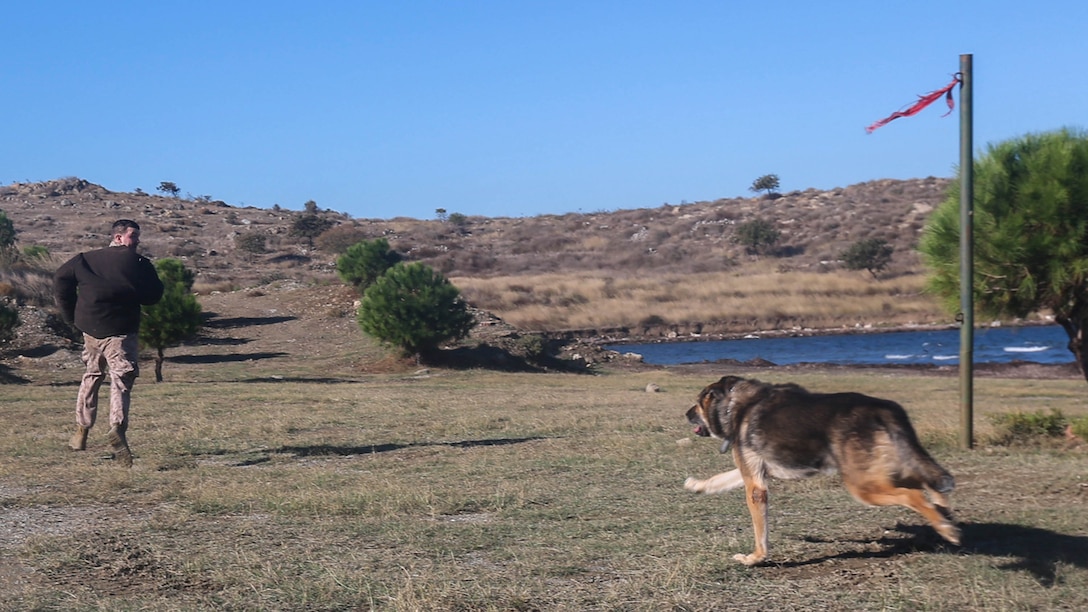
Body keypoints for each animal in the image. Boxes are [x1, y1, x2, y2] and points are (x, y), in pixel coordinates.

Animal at [683, 374, 957, 566]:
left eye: (697, 403)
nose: (685, 414)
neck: (734, 403)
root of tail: (881, 408)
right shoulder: (754, 472)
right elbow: (719, 479)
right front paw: (697, 485)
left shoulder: (756, 486)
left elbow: (760, 532)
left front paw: (755, 559)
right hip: (888, 469)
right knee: (928, 482)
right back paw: (943, 512)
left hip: (863, 486)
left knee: (914, 494)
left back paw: (947, 528)